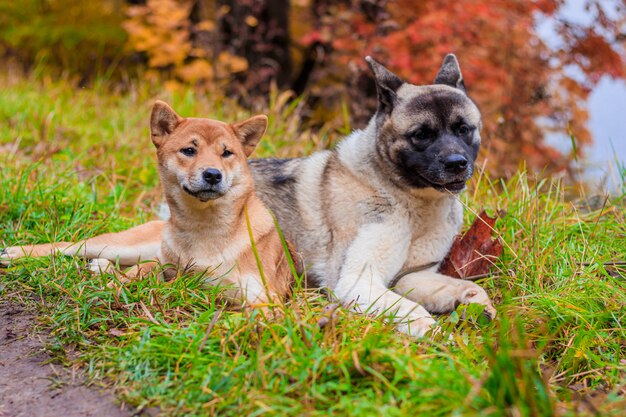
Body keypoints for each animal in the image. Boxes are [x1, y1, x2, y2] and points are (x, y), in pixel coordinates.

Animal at [3, 101, 294, 306]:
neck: (203, 229)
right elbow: (135, 275)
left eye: (227, 153)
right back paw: (18, 252)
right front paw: (108, 290)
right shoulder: (165, 265)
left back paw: (101, 267)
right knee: (69, 246)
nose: (213, 174)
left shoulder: (264, 298)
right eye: (189, 150)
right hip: (123, 245)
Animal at [251, 55, 494, 334]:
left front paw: (477, 304)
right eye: (421, 135)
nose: (456, 164)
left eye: (463, 129)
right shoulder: (356, 281)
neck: (410, 204)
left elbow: (465, 286)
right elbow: (412, 310)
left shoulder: (413, 277)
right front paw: (435, 335)